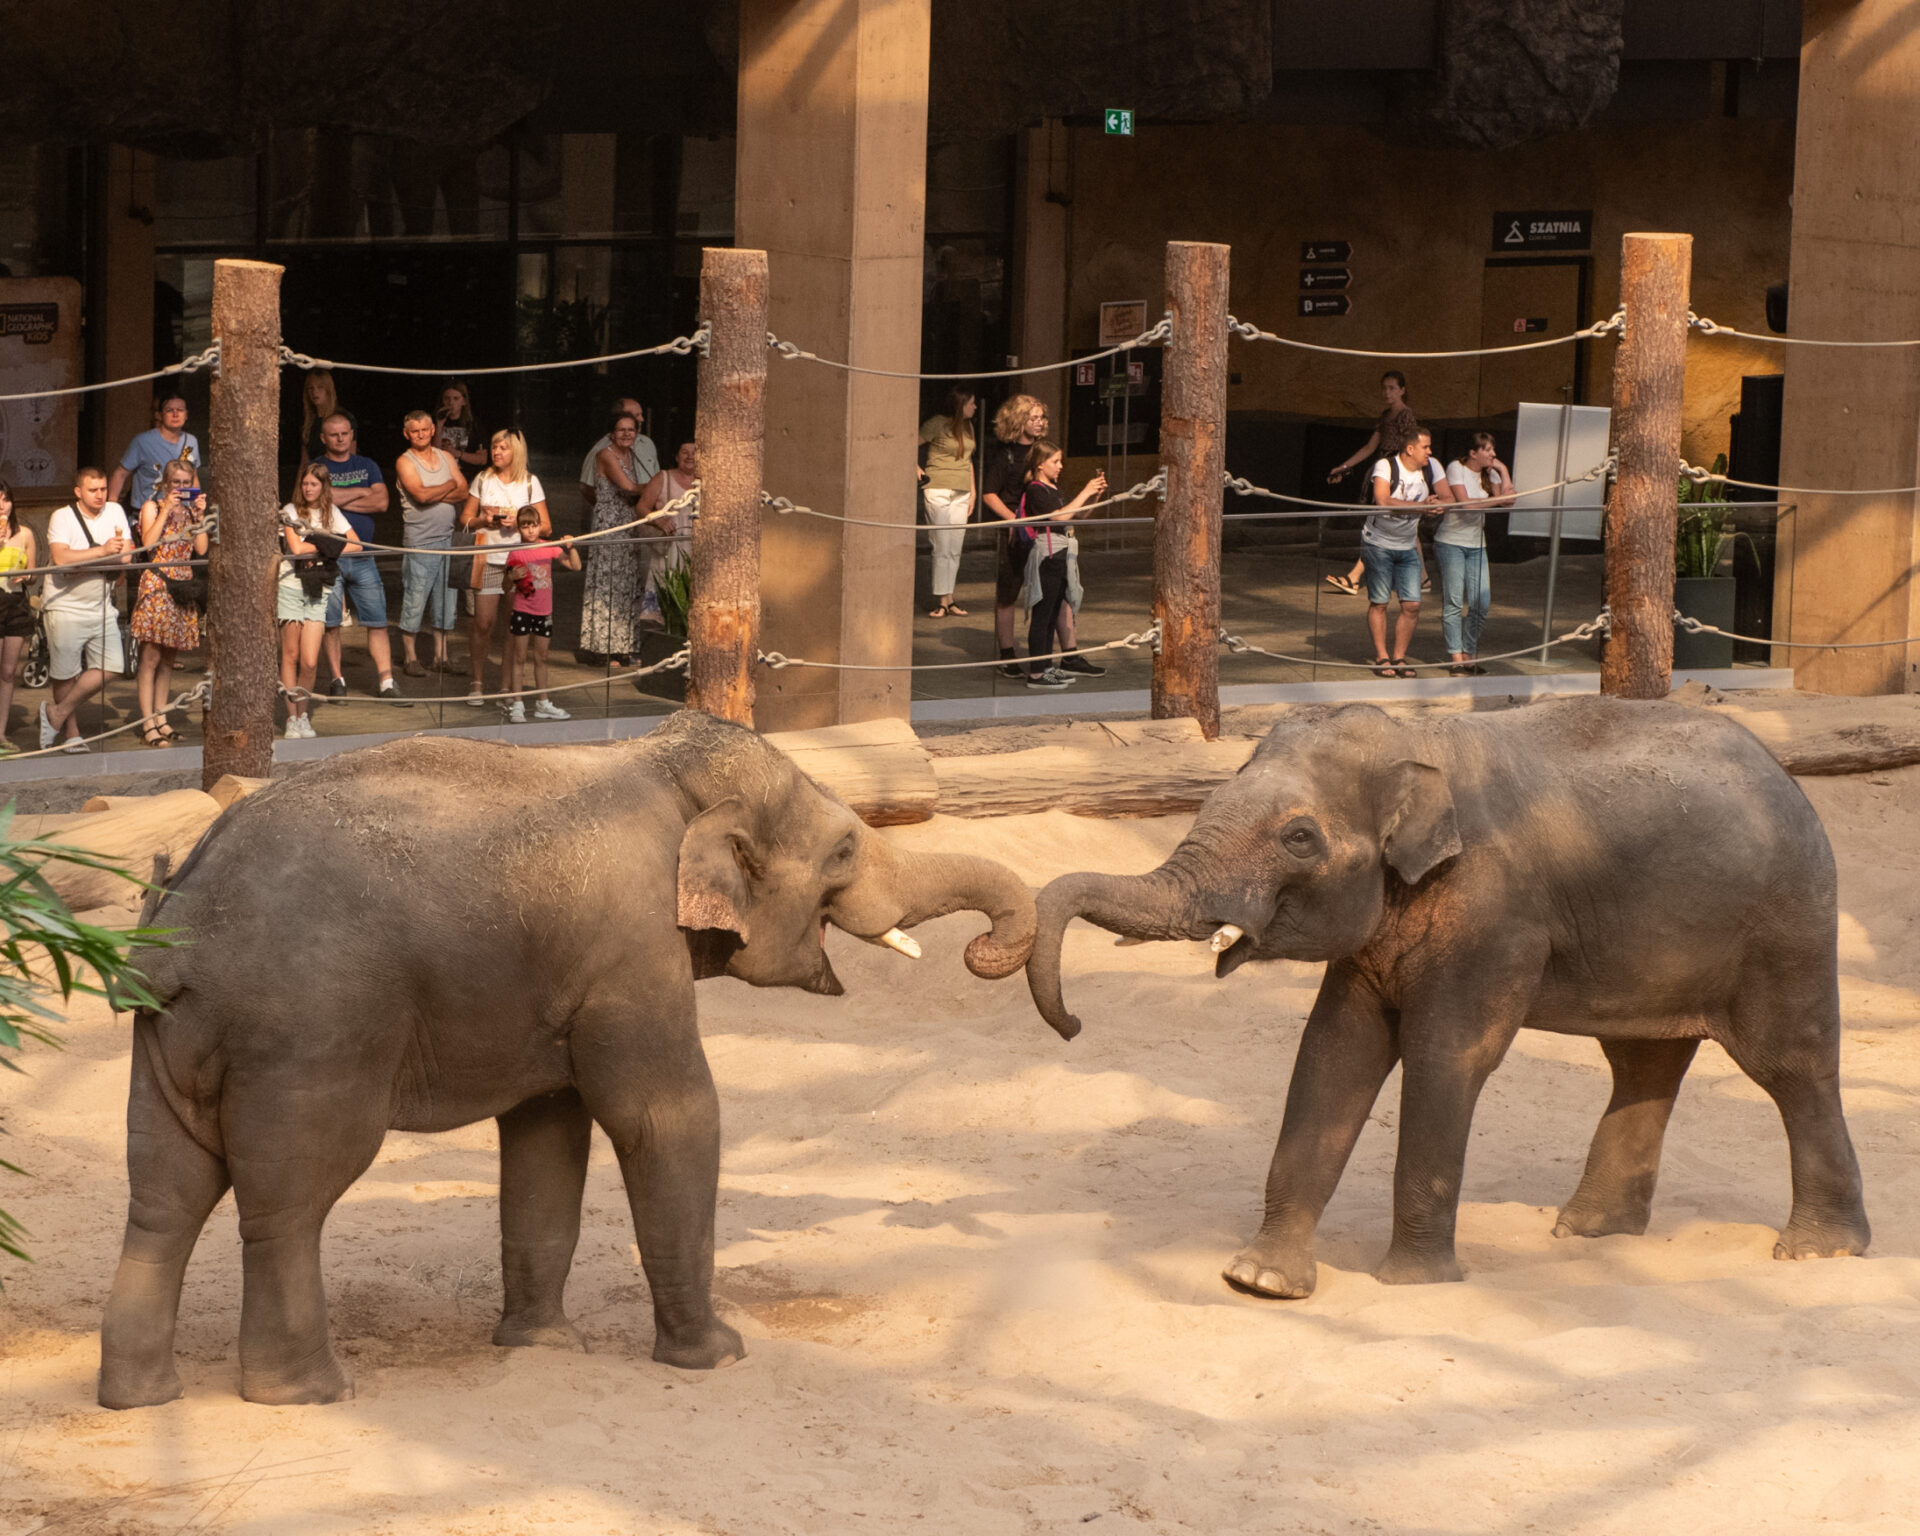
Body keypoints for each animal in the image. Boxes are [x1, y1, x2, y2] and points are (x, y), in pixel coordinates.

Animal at [98, 710, 1035, 1409]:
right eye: (842, 850)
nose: (982, 950)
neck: (659, 764)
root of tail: (183, 920)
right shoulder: (634, 950)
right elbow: (666, 1116)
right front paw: (718, 1357)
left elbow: (548, 1133)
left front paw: (544, 1346)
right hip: (307, 1039)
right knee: (290, 1202)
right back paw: (306, 1393)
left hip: (167, 1043)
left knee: (164, 1198)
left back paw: (140, 1397)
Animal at [1024, 695, 1870, 1299]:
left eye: (1299, 838)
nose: (1071, 1024)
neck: (1418, 741)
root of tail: (1787, 777)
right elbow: (1333, 1052)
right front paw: (1259, 1281)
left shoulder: (1494, 917)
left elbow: (1446, 1056)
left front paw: (1411, 1283)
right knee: (1641, 1063)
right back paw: (1587, 1233)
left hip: (1787, 927)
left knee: (1791, 1067)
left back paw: (1818, 1250)